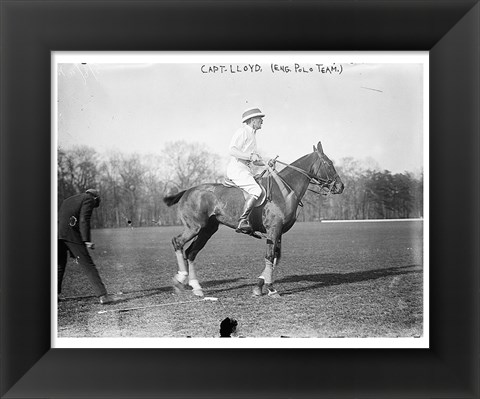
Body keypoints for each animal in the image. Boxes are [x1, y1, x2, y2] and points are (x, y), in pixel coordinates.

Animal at [163, 142, 344, 298]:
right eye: (328, 163)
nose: (341, 186)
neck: (285, 190)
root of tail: (187, 191)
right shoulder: (273, 229)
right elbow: (270, 257)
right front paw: (271, 289)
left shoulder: (279, 232)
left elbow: (276, 257)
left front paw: (259, 287)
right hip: (195, 227)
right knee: (177, 242)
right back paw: (181, 279)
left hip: (208, 230)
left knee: (191, 252)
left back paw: (196, 287)